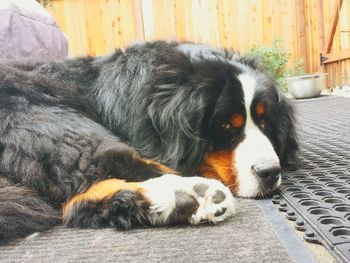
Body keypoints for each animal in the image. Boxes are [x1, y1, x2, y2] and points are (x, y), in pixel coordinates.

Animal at [0, 41, 298, 245]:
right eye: (225, 125)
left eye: (265, 122)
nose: (269, 172)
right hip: (43, 112)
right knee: (100, 157)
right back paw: (192, 191)